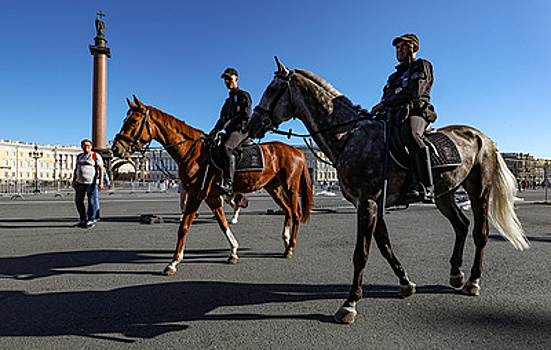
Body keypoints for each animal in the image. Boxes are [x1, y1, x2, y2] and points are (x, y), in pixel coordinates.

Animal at [113, 97, 310, 274]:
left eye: (133, 120)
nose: (116, 148)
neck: (193, 152)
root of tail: (297, 150)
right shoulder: (211, 196)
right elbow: (223, 223)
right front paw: (233, 251)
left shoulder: (195, 194)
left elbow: (183, 227)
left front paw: (173, 262)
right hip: (273, 188)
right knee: (287, 211)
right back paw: (286, 242)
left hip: (291, 187)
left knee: (296, 212)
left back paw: (290, 247)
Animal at [247, 57, 532, 322]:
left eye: (272, 89)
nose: (251, 125)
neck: (349, 136)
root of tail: (486, 138)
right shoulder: (372, 203)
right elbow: (384, 246)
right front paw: (405, 283)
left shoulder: (368, 203)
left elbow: (361, 253)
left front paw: (349, 304)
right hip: (444, 194)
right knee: (461, 226)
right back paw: (456, 273)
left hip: (479, 191)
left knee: (480, 233)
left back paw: (473, 281)